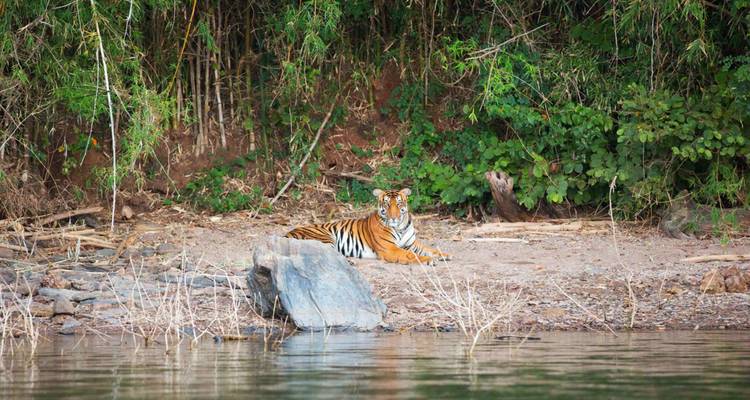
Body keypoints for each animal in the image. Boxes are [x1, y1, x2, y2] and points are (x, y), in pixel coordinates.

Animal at [284, 188, 451, 265]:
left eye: (399, 204)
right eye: (387, 204)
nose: (394, 217)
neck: (400, 227)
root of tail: (287, 234)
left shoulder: (412, 244)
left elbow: (429, 249)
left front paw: (444, 255)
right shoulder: (390, 249)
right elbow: (411, 255)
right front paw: (429, 260)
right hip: (325, 237)